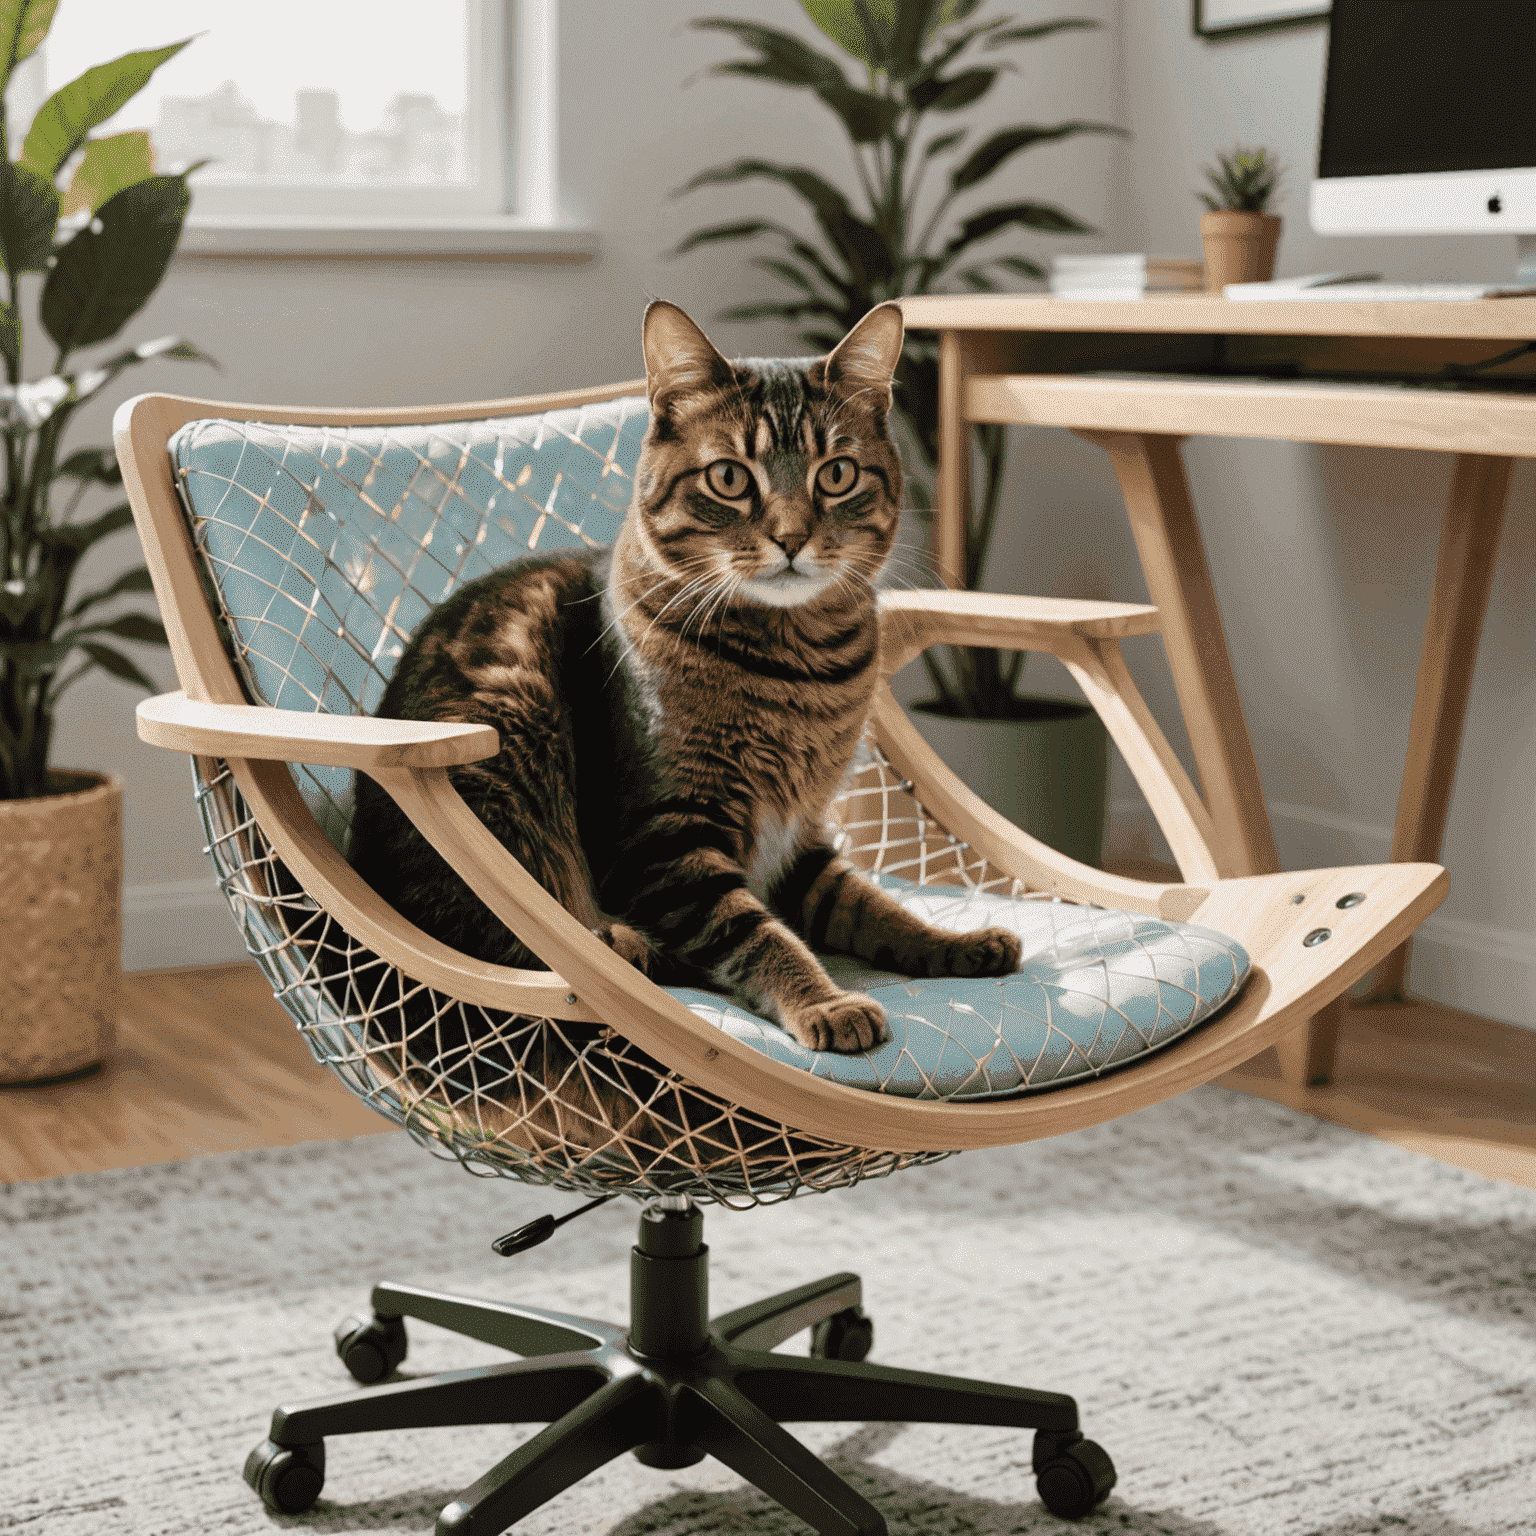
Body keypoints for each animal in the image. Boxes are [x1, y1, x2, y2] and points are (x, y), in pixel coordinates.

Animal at [348, 296, 1019, 1056]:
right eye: (729, 478)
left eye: (837, 474)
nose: (792, 538)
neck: (798, 672)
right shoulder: (667, 839)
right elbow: (759, 934)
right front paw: (826, 1002)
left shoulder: (801, 840)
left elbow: (873, 907)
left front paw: (957, 942)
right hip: (507, 740)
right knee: (517, 935)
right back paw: (622, 943)